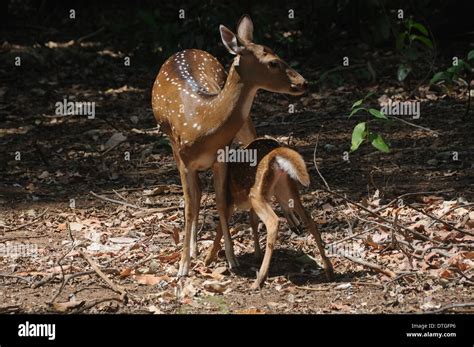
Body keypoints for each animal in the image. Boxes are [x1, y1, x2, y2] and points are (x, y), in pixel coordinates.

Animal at [152, 15, 308, 278]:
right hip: (172, 144)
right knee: (194, 195)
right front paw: (183, 266)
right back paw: (193, 250)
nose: (303, 83)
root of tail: (187, 49)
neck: (204, 124)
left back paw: (293, 221)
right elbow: (189, 206)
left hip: (245, 127)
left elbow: (221, 202)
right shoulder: (184, 159)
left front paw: (232, 259)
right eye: (273, 62)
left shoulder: (221, 158)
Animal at [204, 138, 334, 288]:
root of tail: (276, 153)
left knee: (273, 221)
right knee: (309, 219)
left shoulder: (229, 202)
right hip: (287, 187)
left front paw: (208, 258)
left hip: (257, 194)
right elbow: (253, 222)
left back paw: (260, 278)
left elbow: (221, 225)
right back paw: (329, 269)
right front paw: (257, 254)